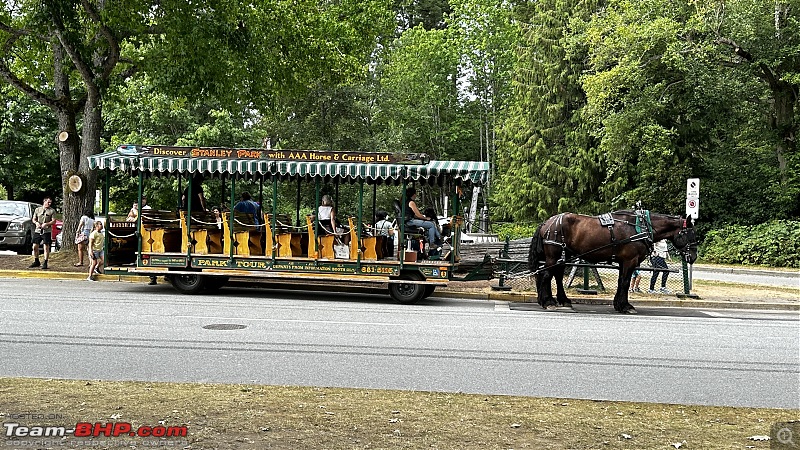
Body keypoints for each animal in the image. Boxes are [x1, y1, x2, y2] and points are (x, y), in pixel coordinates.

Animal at [528, 210, 696, 312]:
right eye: (690, 233)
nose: (693, 256)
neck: (641, 227)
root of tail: (547, 223)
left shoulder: (624, 262)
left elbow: (621, 282)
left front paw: (619, 304)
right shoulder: (630, 261)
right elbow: (625, 283)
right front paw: (626, 306)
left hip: (564, 256)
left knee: (555, 276)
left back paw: (561, 300)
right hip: (553, 256)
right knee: (546, 275)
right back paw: (548, 302)